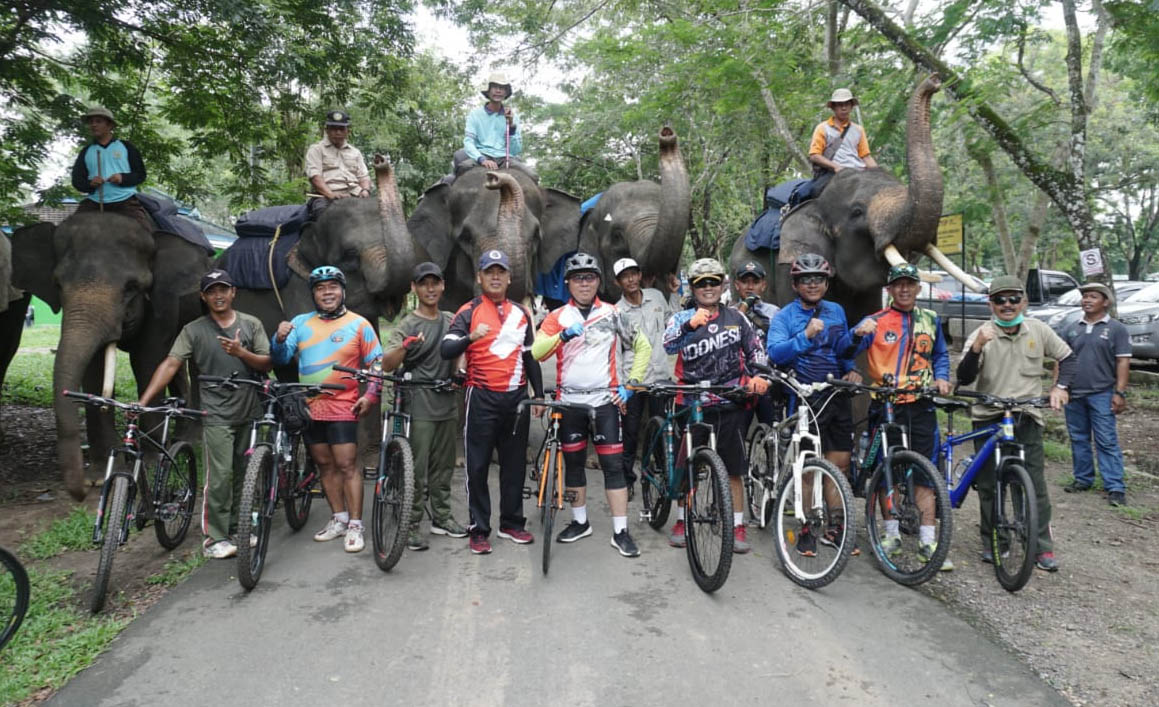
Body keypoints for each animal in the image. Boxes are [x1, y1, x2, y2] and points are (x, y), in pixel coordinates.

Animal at [12, 212, 212, 498]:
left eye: (131, 287)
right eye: (58, 284)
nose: (82, 490)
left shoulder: (162, 301)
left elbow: (147, 360)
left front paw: (149, 461)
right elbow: (94, 369)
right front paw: (99, 475)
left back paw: (190, 438)